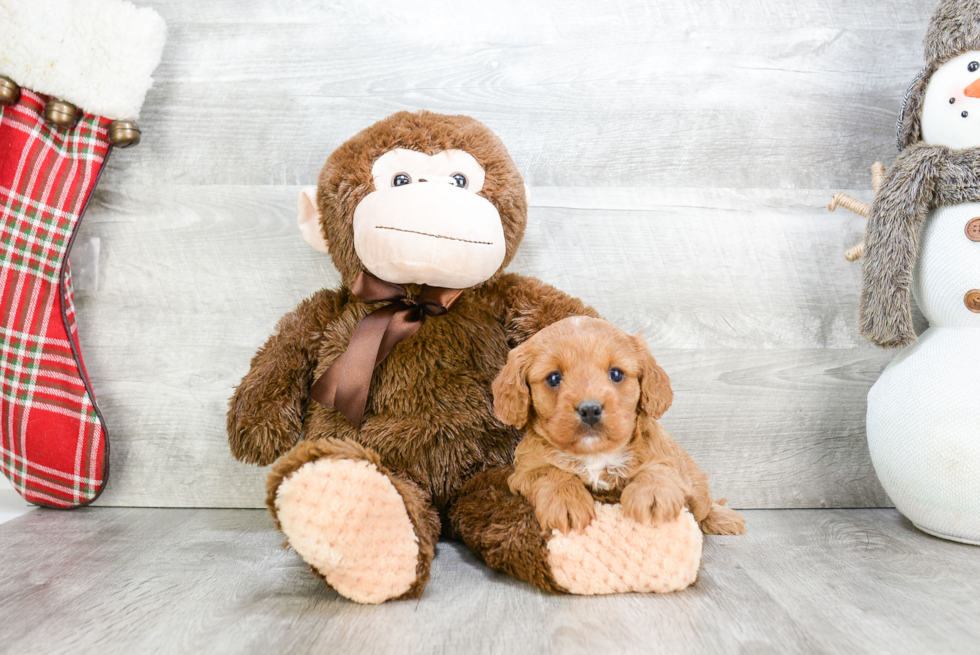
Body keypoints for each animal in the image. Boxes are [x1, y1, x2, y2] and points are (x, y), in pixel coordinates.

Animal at [494, 318, 748, 540]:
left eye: (616, 374)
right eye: (554, 378)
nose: (590, 409)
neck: (596, 454)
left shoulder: (665, 454)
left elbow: (660, 467)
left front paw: (652, 495)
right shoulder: (525, 470)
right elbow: (551, 472)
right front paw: (565, 501)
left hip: (697, 486)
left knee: (704, 508)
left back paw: (724, 518)